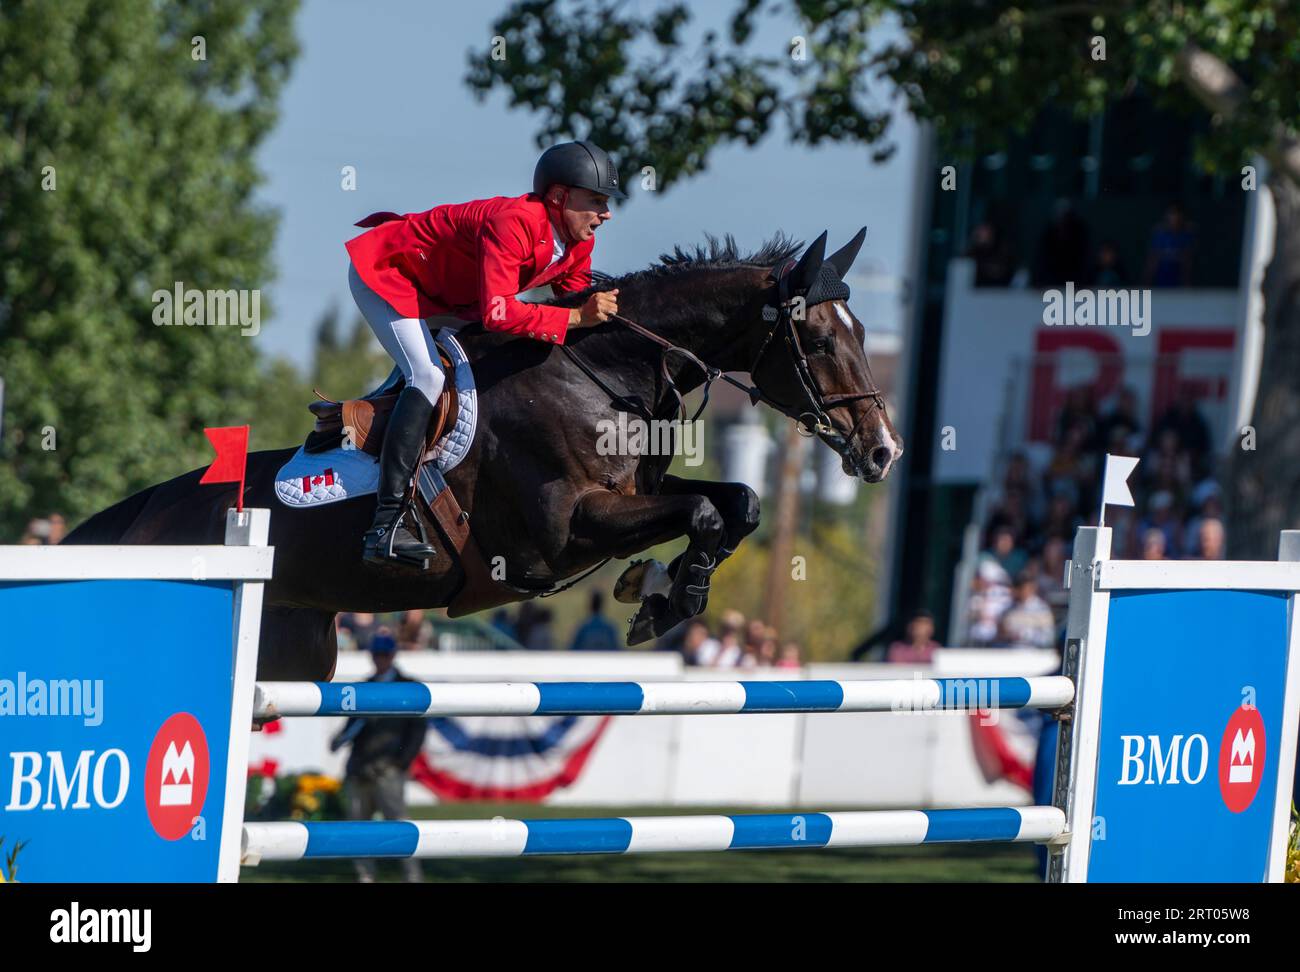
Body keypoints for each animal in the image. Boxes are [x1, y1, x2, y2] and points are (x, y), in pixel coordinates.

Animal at [65, 231, 899, 680]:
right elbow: (699, 509)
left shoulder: (627, 499)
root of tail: (138, 517)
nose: (883, 451)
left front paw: (663, 590)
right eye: (818, 341)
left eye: (864, 334)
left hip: (298, 645)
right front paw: (659, 596)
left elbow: (737, 503)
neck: (604, 373)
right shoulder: (561, 532)